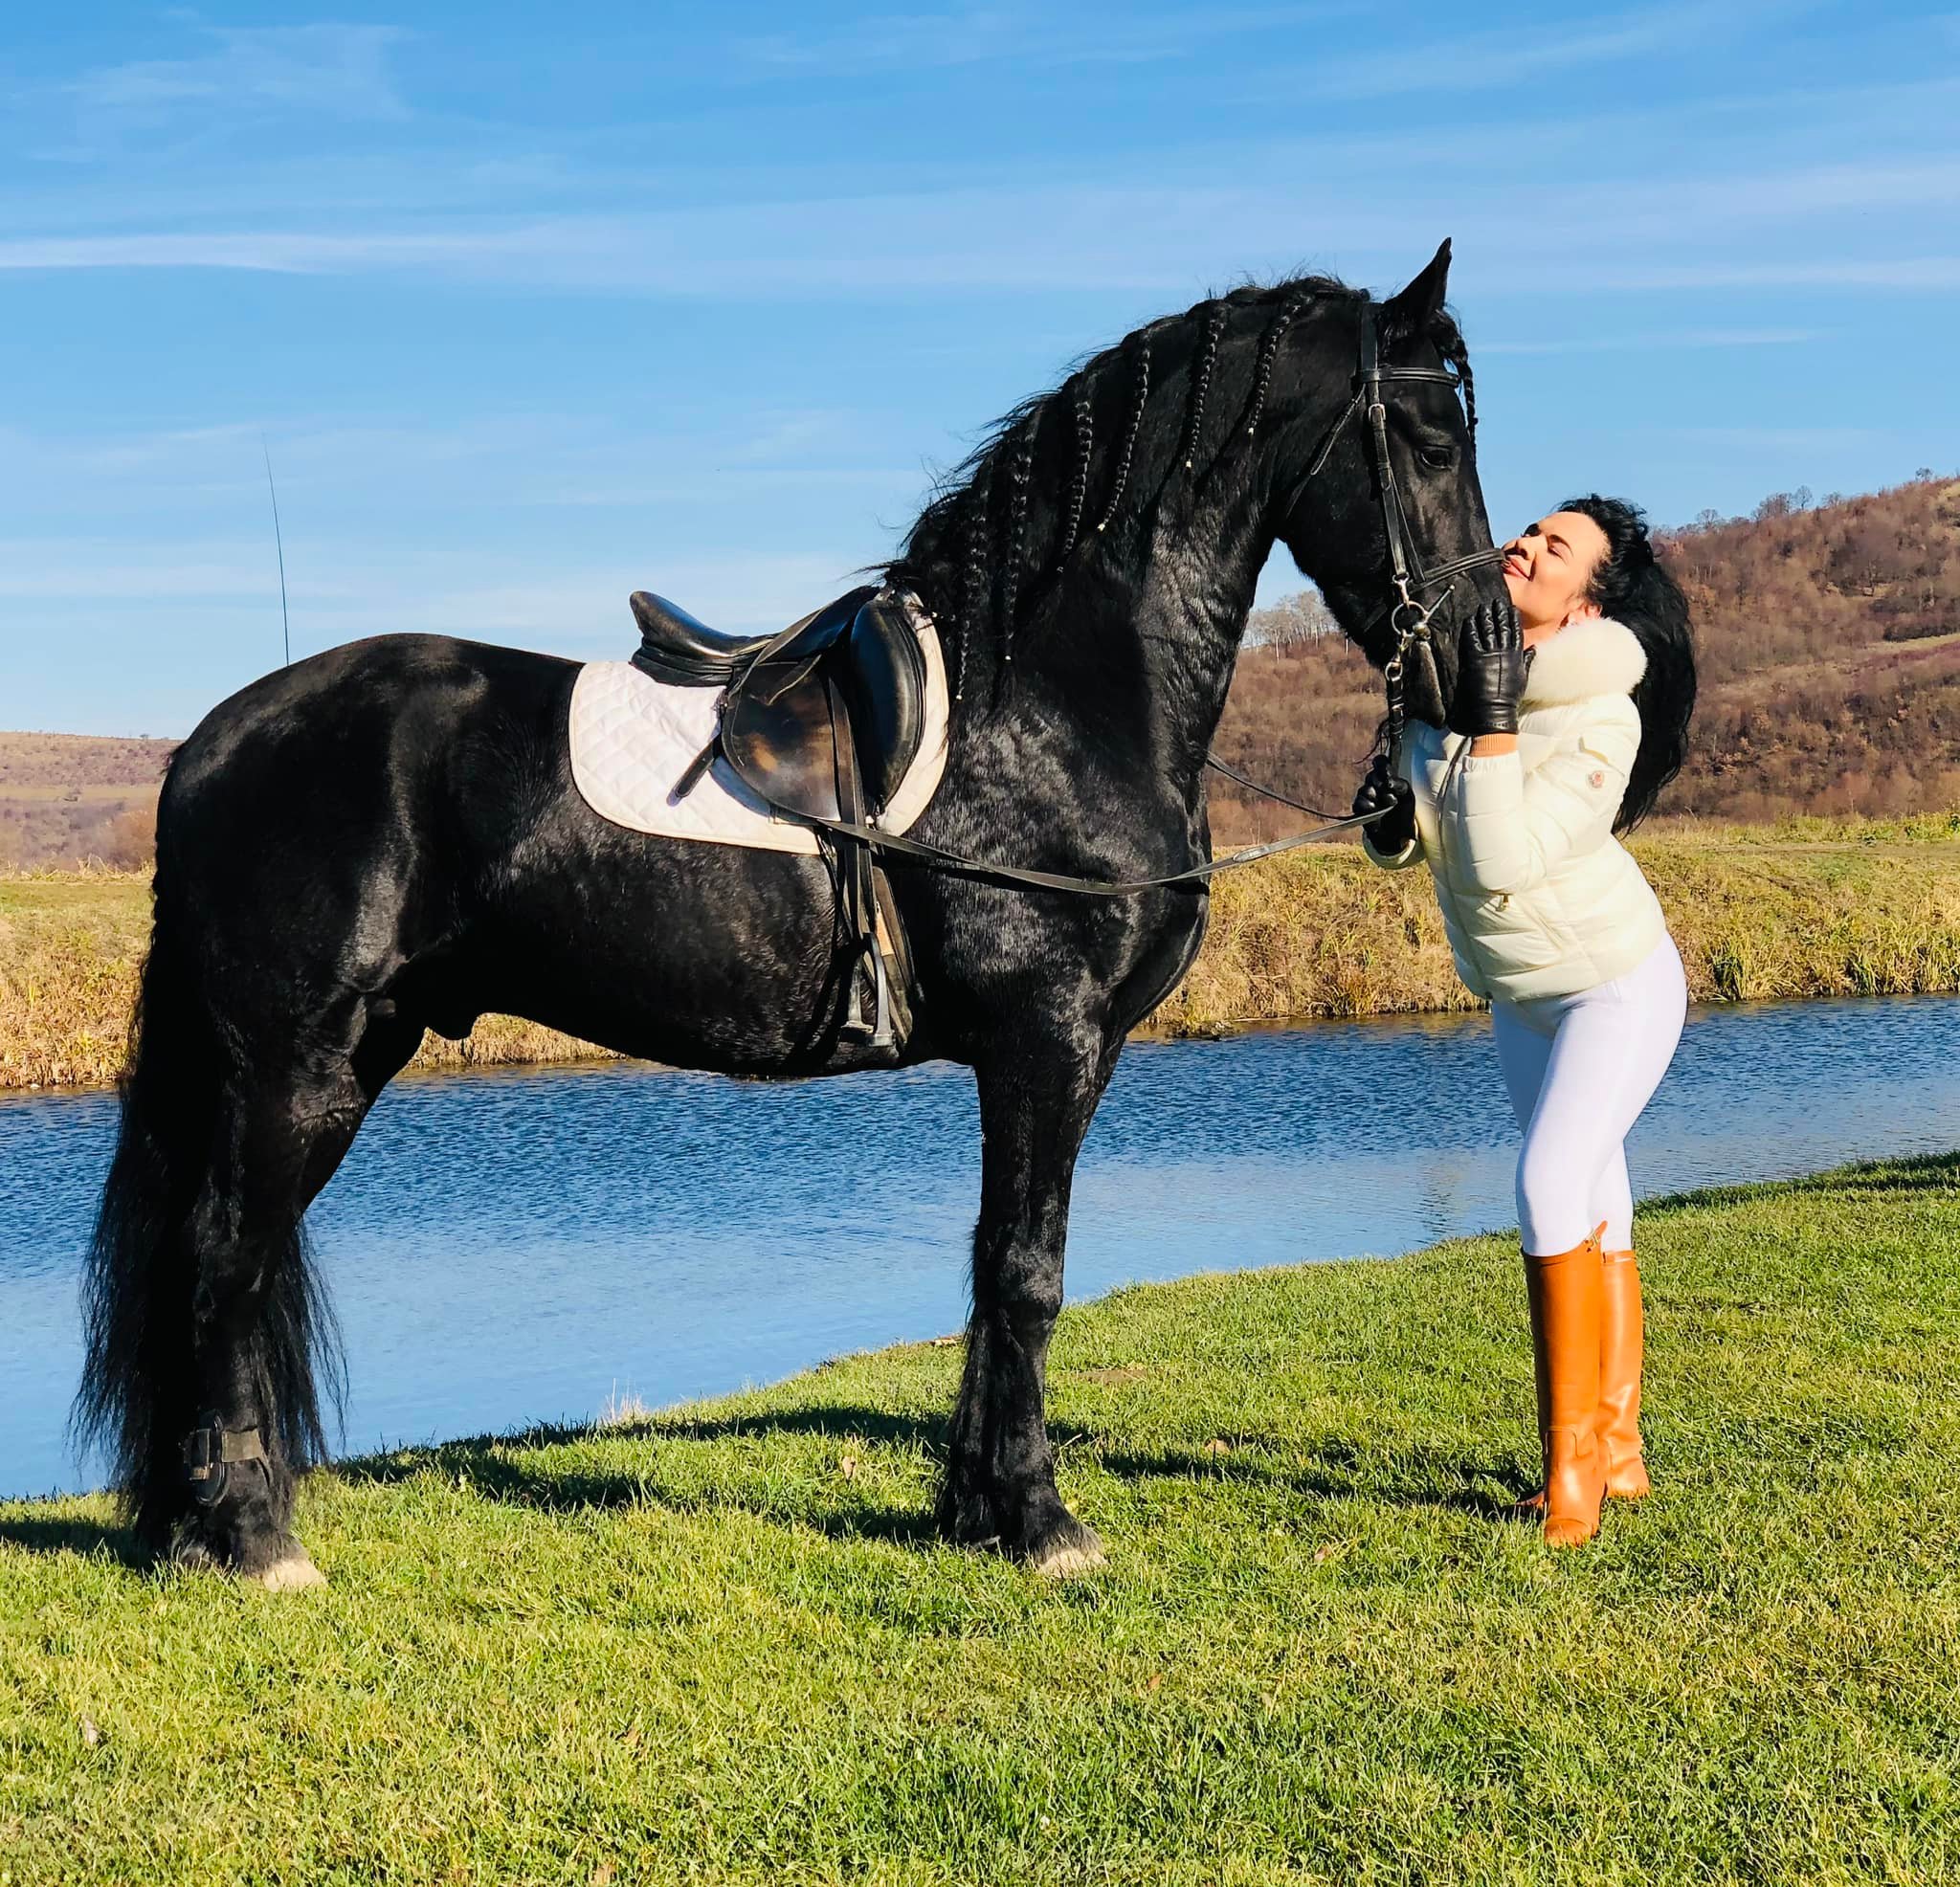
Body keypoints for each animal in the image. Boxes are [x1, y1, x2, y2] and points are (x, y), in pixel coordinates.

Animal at [76, 240, 1503, 1589]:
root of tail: (210, 743)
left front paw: (973, 1510)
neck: (1046, 705)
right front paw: (1041, 1522)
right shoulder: (1048, 1042)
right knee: (222, 1263)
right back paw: (252, 1539)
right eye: (1433, 440)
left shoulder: (1036, 1059)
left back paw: (200, 1525)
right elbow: (1027, 1274)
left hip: (351, 1052)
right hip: (296, 1066)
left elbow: (990, 1268)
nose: (1484, 665)